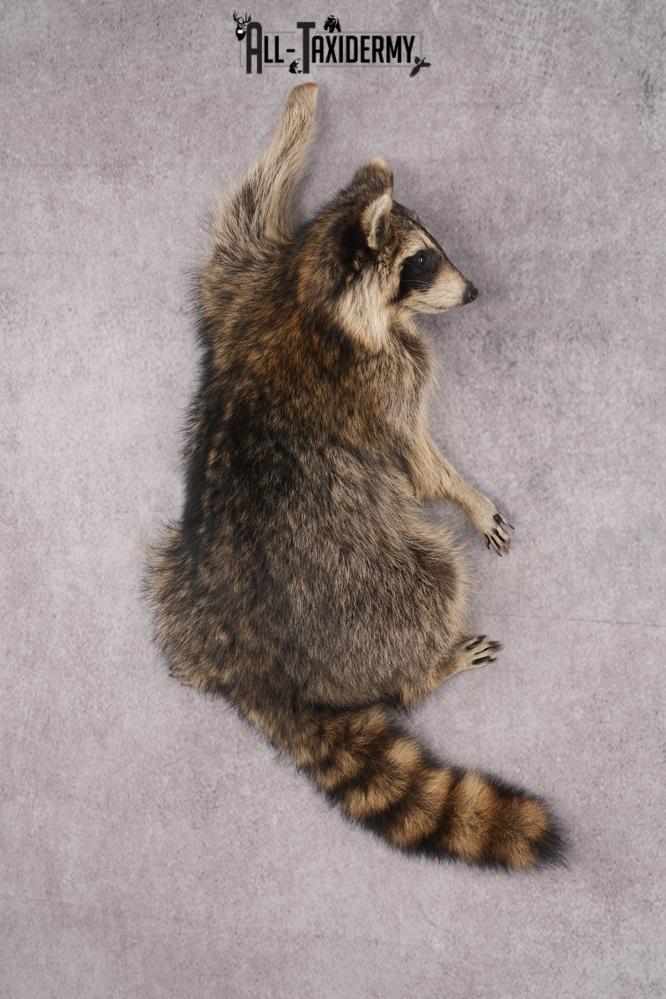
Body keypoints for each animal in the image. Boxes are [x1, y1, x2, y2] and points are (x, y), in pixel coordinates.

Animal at [148, 84, 564, 870]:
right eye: (422, 262)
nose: (474, 292)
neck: (313, 294)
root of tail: (255, 665)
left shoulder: (239, 290)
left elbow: (248, 205)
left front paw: (299, 112)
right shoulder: (380, 384)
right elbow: (417, 461)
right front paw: (466, 496)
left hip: (177, 598)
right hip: (372, 588)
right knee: (431, 581)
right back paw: (429, 663)